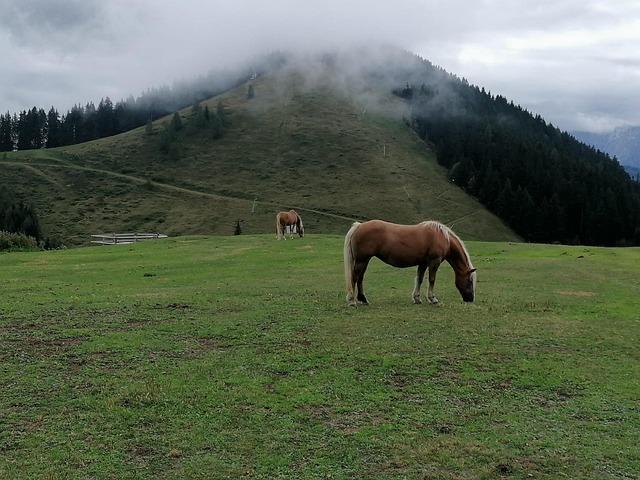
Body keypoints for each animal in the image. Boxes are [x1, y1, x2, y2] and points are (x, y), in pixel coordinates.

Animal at [343, 219, 476, 306]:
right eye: (470, 281)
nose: (470, 298)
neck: (443, 238)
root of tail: (359, 226)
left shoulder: (423, 263)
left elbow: (420, 279)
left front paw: (417, 298)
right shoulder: (434, 261)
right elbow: (432, 279)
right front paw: (432, 298)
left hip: (364, 260)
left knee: (360, 278)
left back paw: (363, 299)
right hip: (361, 260)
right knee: (355, 277)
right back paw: (352, 300)